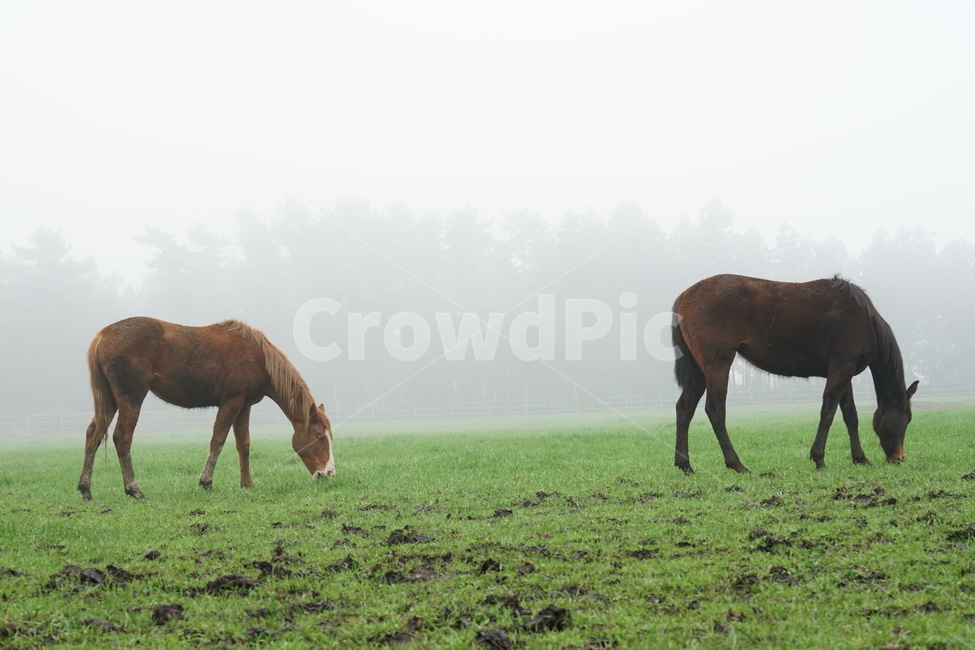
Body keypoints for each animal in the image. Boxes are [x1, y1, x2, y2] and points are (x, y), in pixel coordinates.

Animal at [77, 317, 334, 499]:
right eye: (319, 437)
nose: (328, 473)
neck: (258, 355)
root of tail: (104, 334)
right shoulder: (231, 402)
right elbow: (218, 440)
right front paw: (206, 482)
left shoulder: (244, 406)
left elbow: (244, 445)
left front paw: (246, 484)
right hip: (131, 398)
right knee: (122, 437)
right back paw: (134, 489)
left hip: (111, 401)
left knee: (93, 434)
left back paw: (85, 488)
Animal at [671, 274, 918, 474]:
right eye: (908, 417)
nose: (898, 457)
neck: (864, 319)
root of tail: (685, 296)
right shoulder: (842, 367)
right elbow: (828, 412)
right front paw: (819, 459)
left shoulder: (844, 372)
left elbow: (851, 416)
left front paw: (860, 458)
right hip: (717, 364)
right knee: (715, 411)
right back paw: (736, 464)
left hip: (699, 371)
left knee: (684, 409)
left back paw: (685, 465)